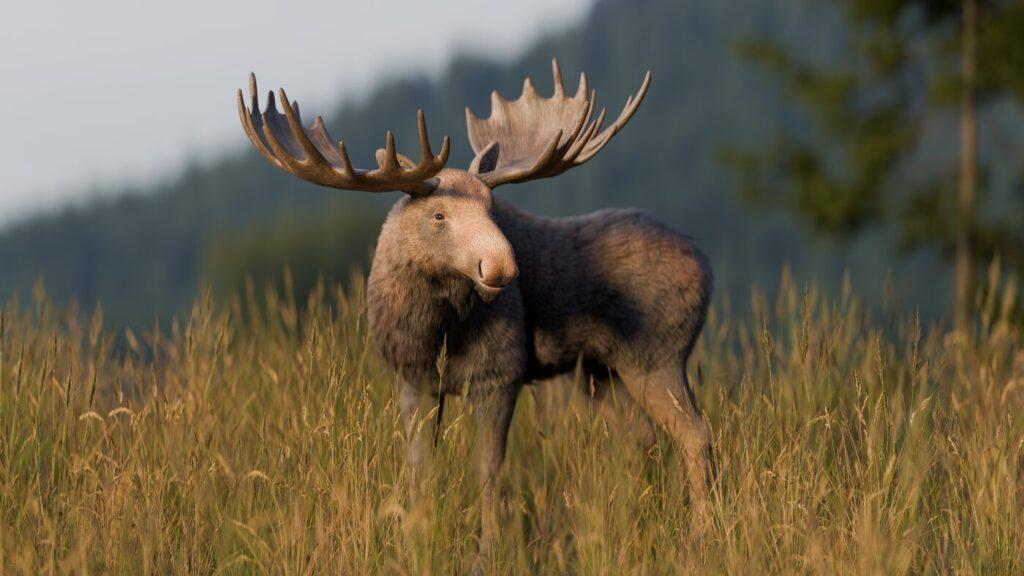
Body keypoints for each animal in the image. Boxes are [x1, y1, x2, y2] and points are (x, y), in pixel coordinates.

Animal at [237, 59, 714, 557]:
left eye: (492, 206)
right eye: (438, 215)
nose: (503, 265)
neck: (436, 332)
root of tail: (707, 268)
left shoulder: (500, 373)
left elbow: (488, 471)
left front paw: (489, 551)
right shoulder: (414, 380)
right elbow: (419, 470)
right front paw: (416, 542)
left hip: (656, 355)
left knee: (695, 436)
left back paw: (699, 537)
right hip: (600, 373)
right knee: (641, 436)